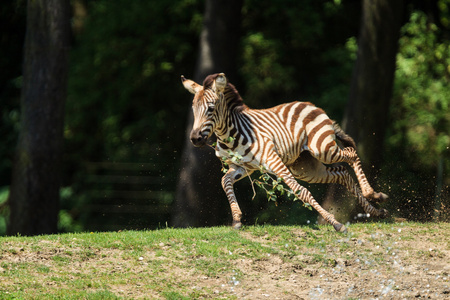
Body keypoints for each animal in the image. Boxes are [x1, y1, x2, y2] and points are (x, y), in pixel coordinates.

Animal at [181, 72, 388, 232]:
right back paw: (377, 210)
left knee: (351, 153)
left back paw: (372, 194)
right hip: (305, 168)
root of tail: (313, 105)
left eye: (210, 109)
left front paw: (336, 224)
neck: (230, 135)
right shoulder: (243, 166)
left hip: (322, 149)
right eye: (193, 108)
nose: (195, 139)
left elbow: (301, 192)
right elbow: (225, 181)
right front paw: (237, 219)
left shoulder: (273, 161)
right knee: (341, 173)